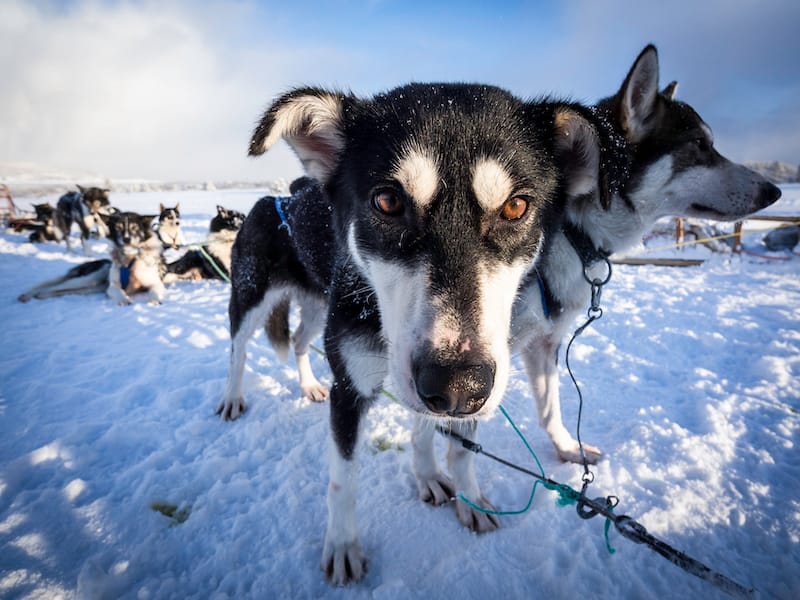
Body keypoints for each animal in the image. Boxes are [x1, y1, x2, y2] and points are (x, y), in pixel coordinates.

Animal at [219, 82, 600, 584]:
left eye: (516, 206)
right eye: (388, 201)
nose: (457, 384)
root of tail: (274, 199)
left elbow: (451, 443)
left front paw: (453, 488)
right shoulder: (350, 390)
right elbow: (344, 480)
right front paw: (343, 545)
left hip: (321, 310)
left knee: (300, 342)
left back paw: (308, 384)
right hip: (250, 297)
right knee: (238, 348)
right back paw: (232, 397)